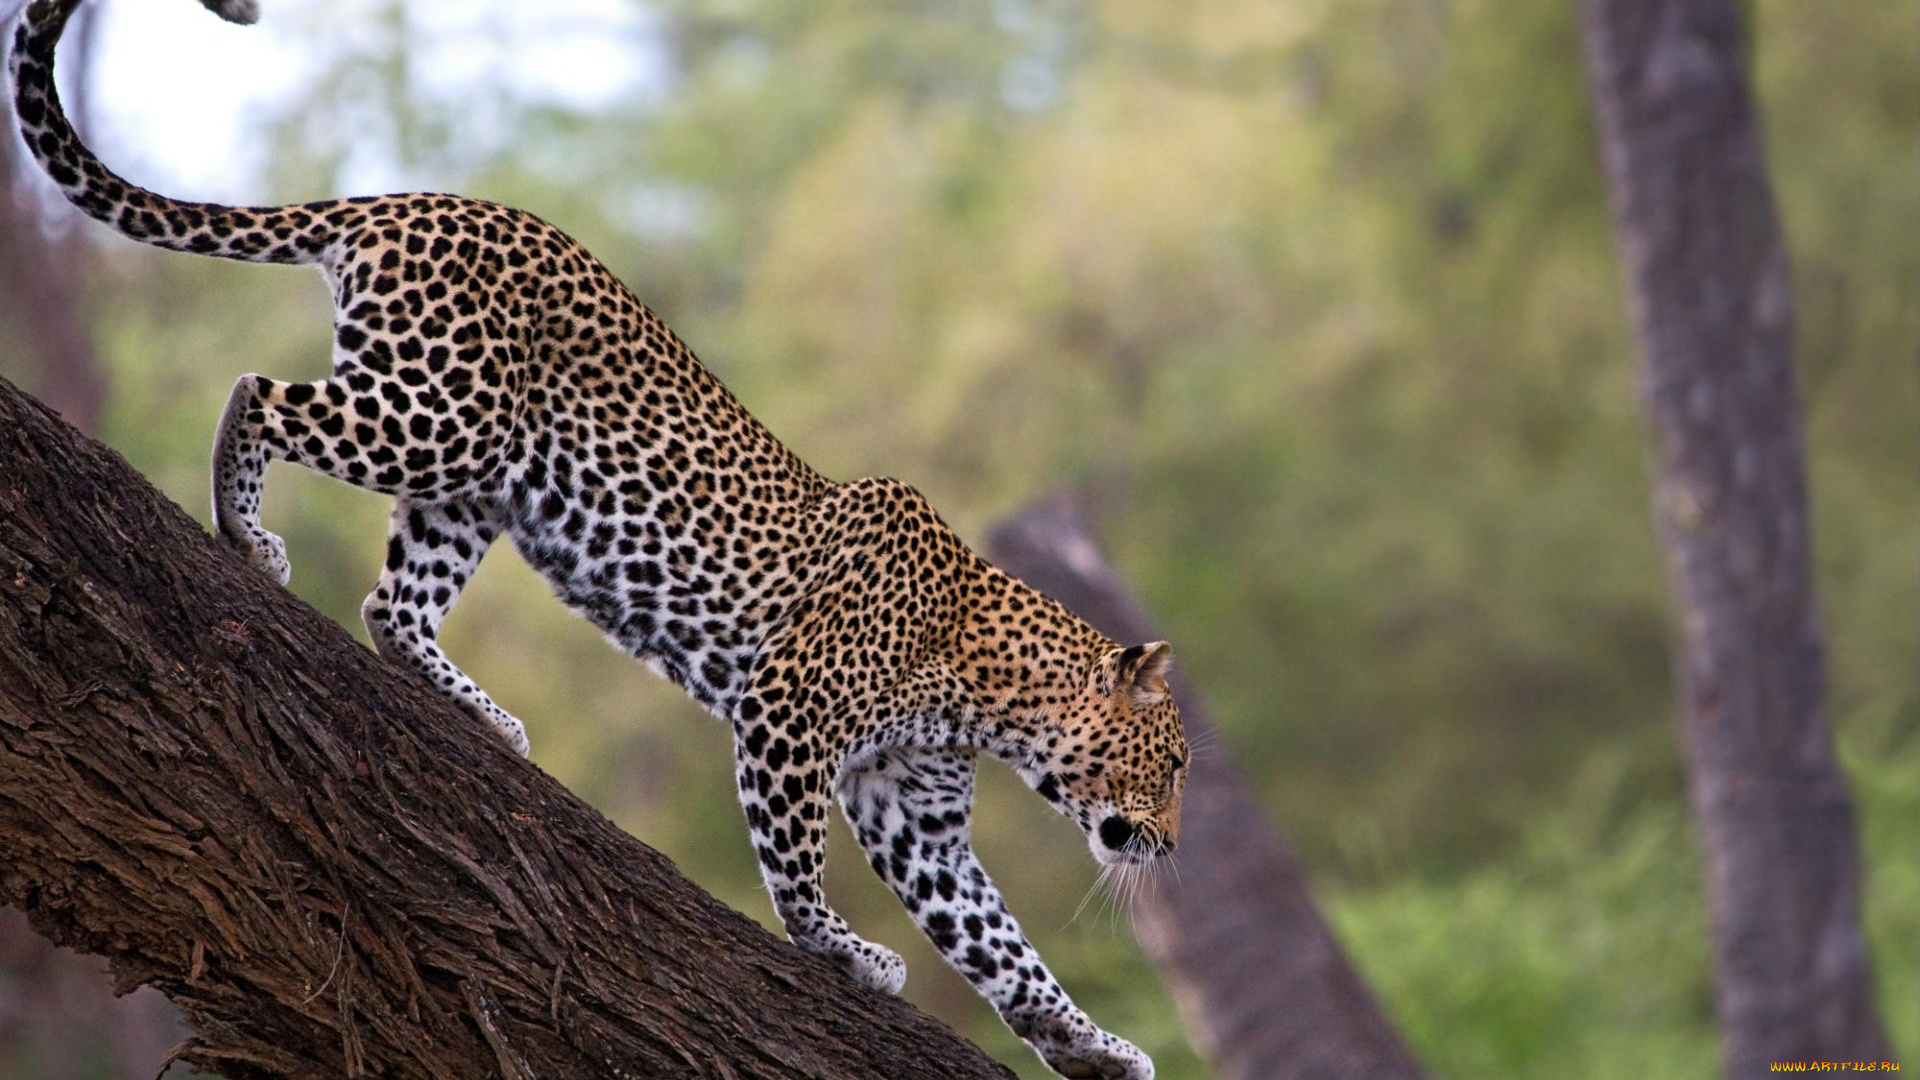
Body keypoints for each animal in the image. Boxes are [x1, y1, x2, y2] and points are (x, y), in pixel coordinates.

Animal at [11, 2, 1182, 1076]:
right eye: (1170, 762)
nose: (1170, 844)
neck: (992, 693)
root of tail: (415, 197)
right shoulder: (788, 714)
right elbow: (798, 862)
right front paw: (843, 952)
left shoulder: (916, 816)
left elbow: (1004, 948)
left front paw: (1091, 1046)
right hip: (438, 415)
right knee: (258, 395)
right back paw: (247, 536)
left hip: (475, 482)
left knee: (393, 604)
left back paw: (480, 714)